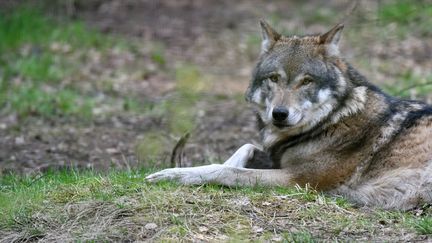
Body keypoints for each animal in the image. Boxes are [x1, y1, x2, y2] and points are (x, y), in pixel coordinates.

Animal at [146, 20, 432, 210]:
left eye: (306, 81)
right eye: (274, 78)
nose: (279, 114)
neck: (332, 120)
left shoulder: (297, 180)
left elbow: (225, 171)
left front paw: (173, 175)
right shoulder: (278, 161)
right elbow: (244, 148)